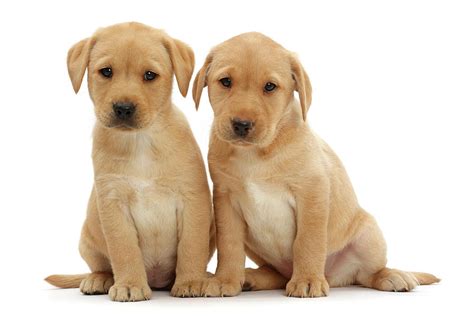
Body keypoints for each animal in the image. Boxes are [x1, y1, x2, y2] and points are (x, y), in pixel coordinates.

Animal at [44, 22, 215, 302]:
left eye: (149, 75)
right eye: (106, 72)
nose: (123, 108)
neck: (141, 142)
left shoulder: (193, 200)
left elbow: (192, 246)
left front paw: (190, 281)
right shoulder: (113, 204)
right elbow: (124, 251)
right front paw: (130, 284)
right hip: (87, 238)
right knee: (102, 266)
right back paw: (99, 279)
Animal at [193, 33, 440, 298]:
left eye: (270, 86)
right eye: (226, 82)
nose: (241, 124)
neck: (257, 154)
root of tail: (333, 276)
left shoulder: (312, 192)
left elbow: (307, 241)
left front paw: (308, 280)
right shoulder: (226, 199)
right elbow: (229, 245)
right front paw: (225, 279)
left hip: (369, 233)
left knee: (367, 274)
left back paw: (391, 276)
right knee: (278, 274)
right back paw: (251, 277)